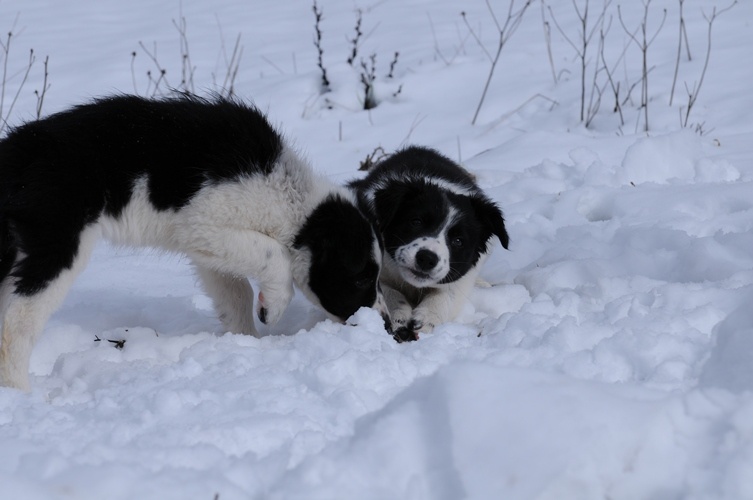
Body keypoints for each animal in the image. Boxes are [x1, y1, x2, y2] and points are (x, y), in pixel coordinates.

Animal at [0, 94, 388, 390]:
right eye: (361, 277)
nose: (386, 326)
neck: (291, 198)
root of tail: (16, 154)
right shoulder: (203, 220)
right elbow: (275, 256)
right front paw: (272, 310)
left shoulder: (209, 248)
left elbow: (235, 296)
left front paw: (246, 344)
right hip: (57, 245)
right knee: (17, 325)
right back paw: (22, 395)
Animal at [350, 146, 508, 344]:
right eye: (416, 222)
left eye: (458, 241)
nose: (426, 258)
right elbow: (386, 290)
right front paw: (398, 315)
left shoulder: (461, 278)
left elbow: (446, 295)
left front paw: (426, 319)